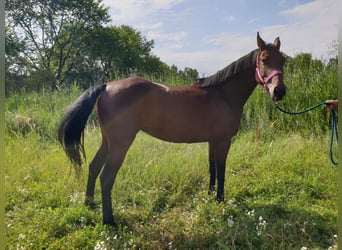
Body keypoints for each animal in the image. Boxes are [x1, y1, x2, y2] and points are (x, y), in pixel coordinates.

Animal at [58, 32, 286, 226]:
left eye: (282, 61)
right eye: (264, 59)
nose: (279, 91)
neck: (222, 95)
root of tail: (107, 86)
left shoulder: (212, 141)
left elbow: (211, 169)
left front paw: (210, 197)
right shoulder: (223, 141)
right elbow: (221, 172)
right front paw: (221, 201)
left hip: (107, 141)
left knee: (94, 167)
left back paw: (90, 204)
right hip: (120, 144)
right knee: (106, 178)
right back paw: (109, 221)